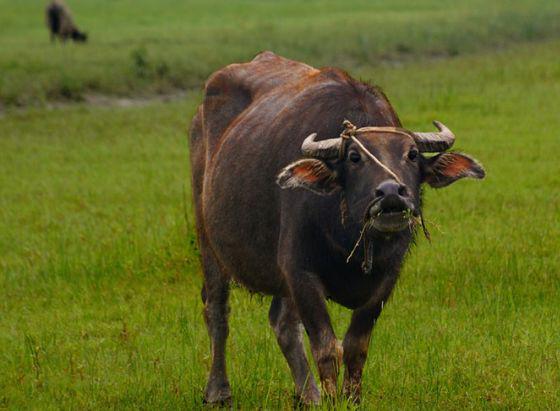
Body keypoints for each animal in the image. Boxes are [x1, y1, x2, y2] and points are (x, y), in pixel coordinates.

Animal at [189, 51, 486, 406]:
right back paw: (219, 391)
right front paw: (333, 399)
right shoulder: (300, 271)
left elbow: (356, 346)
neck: (349, 239)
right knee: (217, 310)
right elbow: (326, 346)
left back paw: (308, 395)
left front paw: (351, 398)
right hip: (208, 238)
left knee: (283, 324)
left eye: (412, 154)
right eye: (355, 157)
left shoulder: (387, 276)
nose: (391, 193)